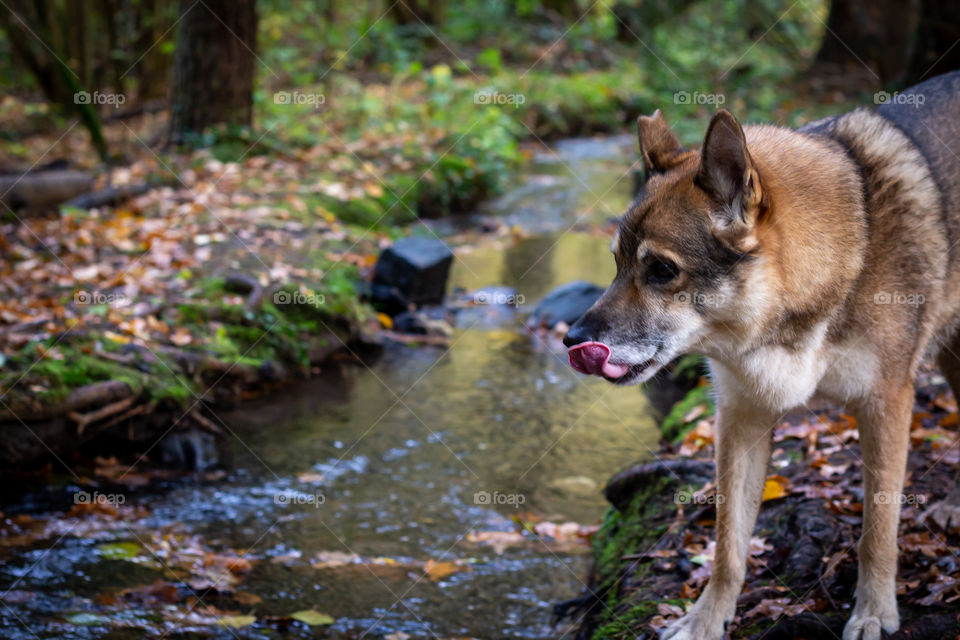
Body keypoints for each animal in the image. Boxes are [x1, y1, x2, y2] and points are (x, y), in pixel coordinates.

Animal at [568, 71, 960, 640]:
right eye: (617, 263)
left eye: (661, 270)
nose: (571, 339)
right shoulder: (740, 418)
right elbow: (728, 546)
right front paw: (706, 620)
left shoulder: (886, 406)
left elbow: (878, 530)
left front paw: (873, 610)